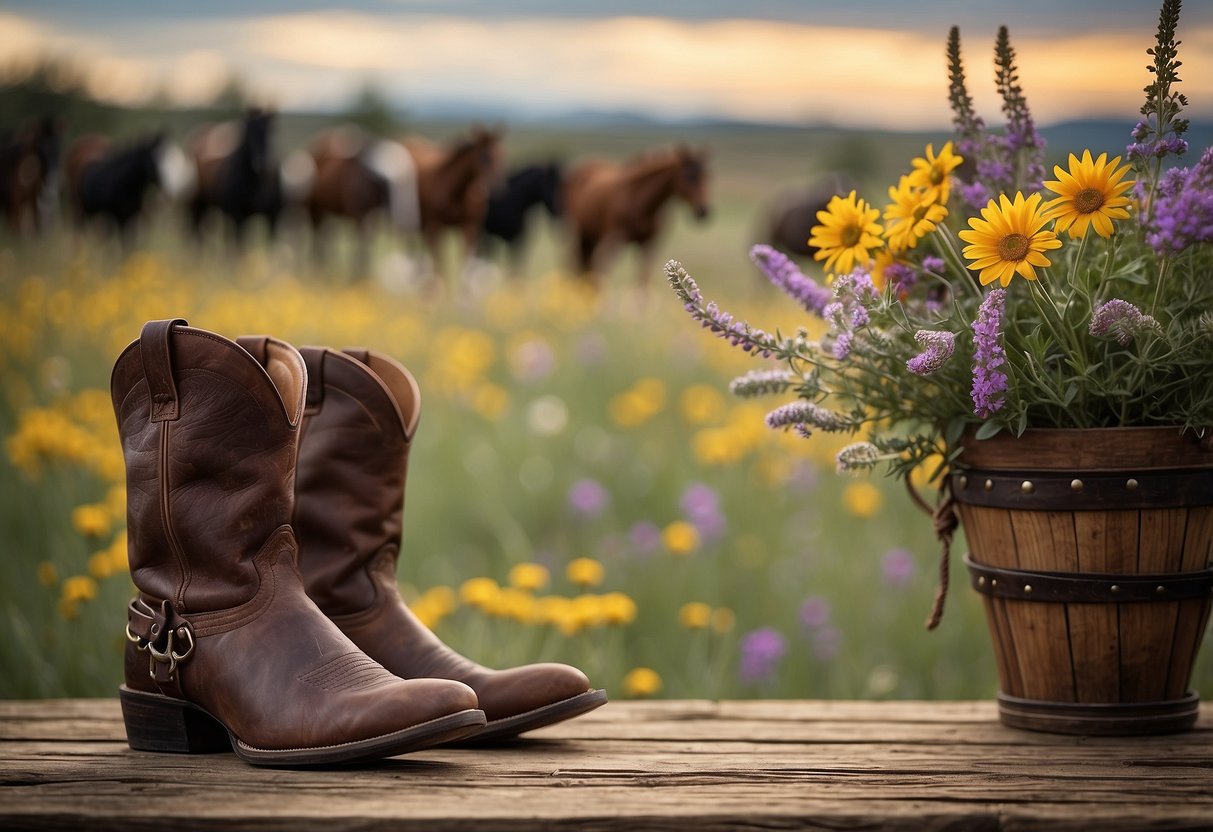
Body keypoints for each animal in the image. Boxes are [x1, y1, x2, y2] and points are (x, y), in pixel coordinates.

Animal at [185, 106, 280, 247]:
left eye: (273, 130)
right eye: (250, 131)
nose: (263, 164)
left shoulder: (271, 217)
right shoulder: (238, 216)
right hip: (198, 204)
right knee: (198, 236)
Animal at [560, 146, 708, 293]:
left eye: (708, 175)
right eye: (689, 176)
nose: (704, 211)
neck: (640, 201)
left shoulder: (649, 244)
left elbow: (642, 283)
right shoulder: (614, 239)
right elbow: (602, 268)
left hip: (591, 237)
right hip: (580, 234)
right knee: (575, 264)